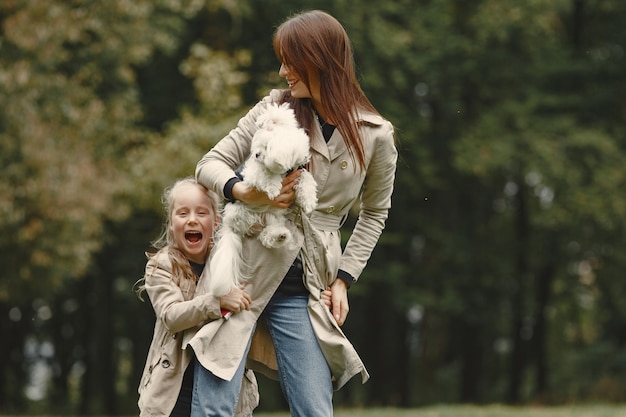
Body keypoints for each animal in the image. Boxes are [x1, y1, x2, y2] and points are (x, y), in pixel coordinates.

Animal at [208, 102, 316, 294]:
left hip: (273, 218)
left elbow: (306, 178)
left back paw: (280, 235)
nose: (257, 155)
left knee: (267, 236)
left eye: (268, 147)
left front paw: (309, 200)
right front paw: (273, 188)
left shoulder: (298, 172)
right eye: (257, 147)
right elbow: (265, 174)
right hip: (238, 210)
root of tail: (229, 227)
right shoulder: (252, 173)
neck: (285, 170)